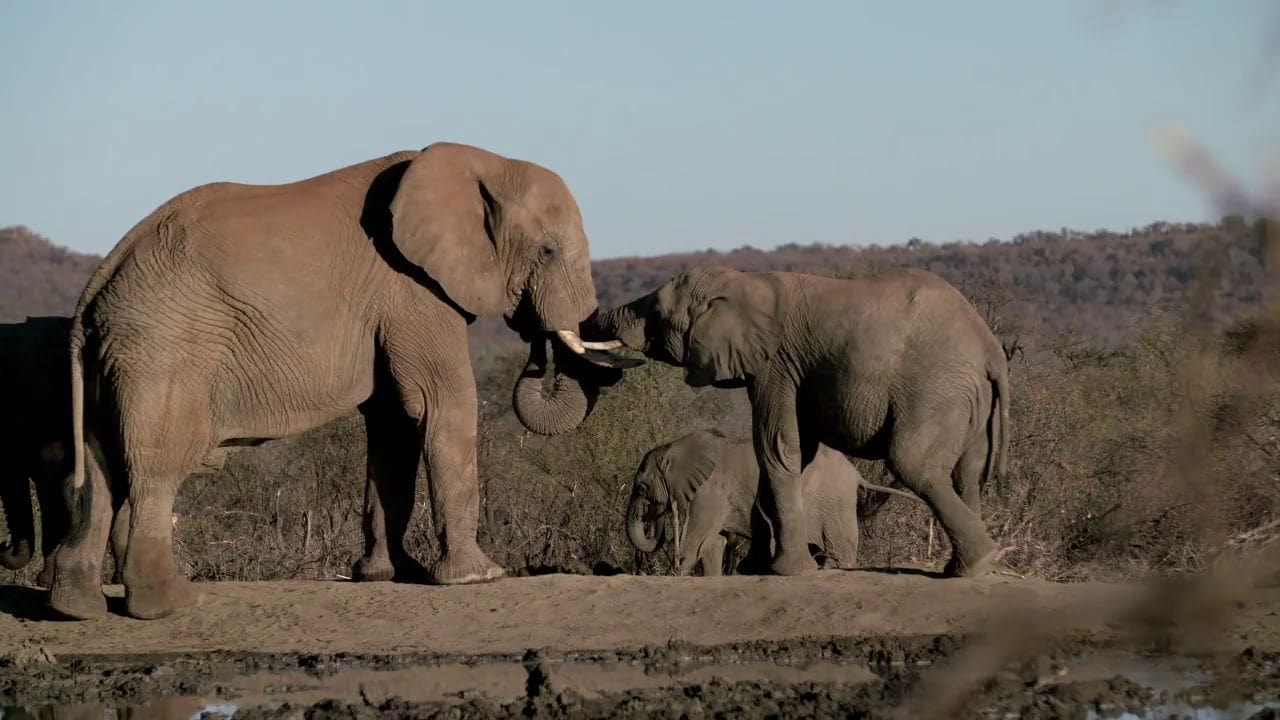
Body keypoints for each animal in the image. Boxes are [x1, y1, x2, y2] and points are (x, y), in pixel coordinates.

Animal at [50, 142, 638, 621]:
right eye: (547, 251)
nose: (540, 349)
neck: (483, 162)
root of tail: (96, 287)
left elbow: (394, 424)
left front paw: (389, 574)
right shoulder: (411, 290)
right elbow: (442, 406)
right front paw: (479, 576)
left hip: (118, 357)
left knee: (102, 472)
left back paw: (76, 609)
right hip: (164, 352)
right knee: (155, 467)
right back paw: (171, 606)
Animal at [626, 428, 925, 576]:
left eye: (641, 488)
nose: (656, 516)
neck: (675, 448)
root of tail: (856, 474)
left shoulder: (711, 491)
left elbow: (699, 539)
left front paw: (675, 573)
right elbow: (713, 544)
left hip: (832, 502)